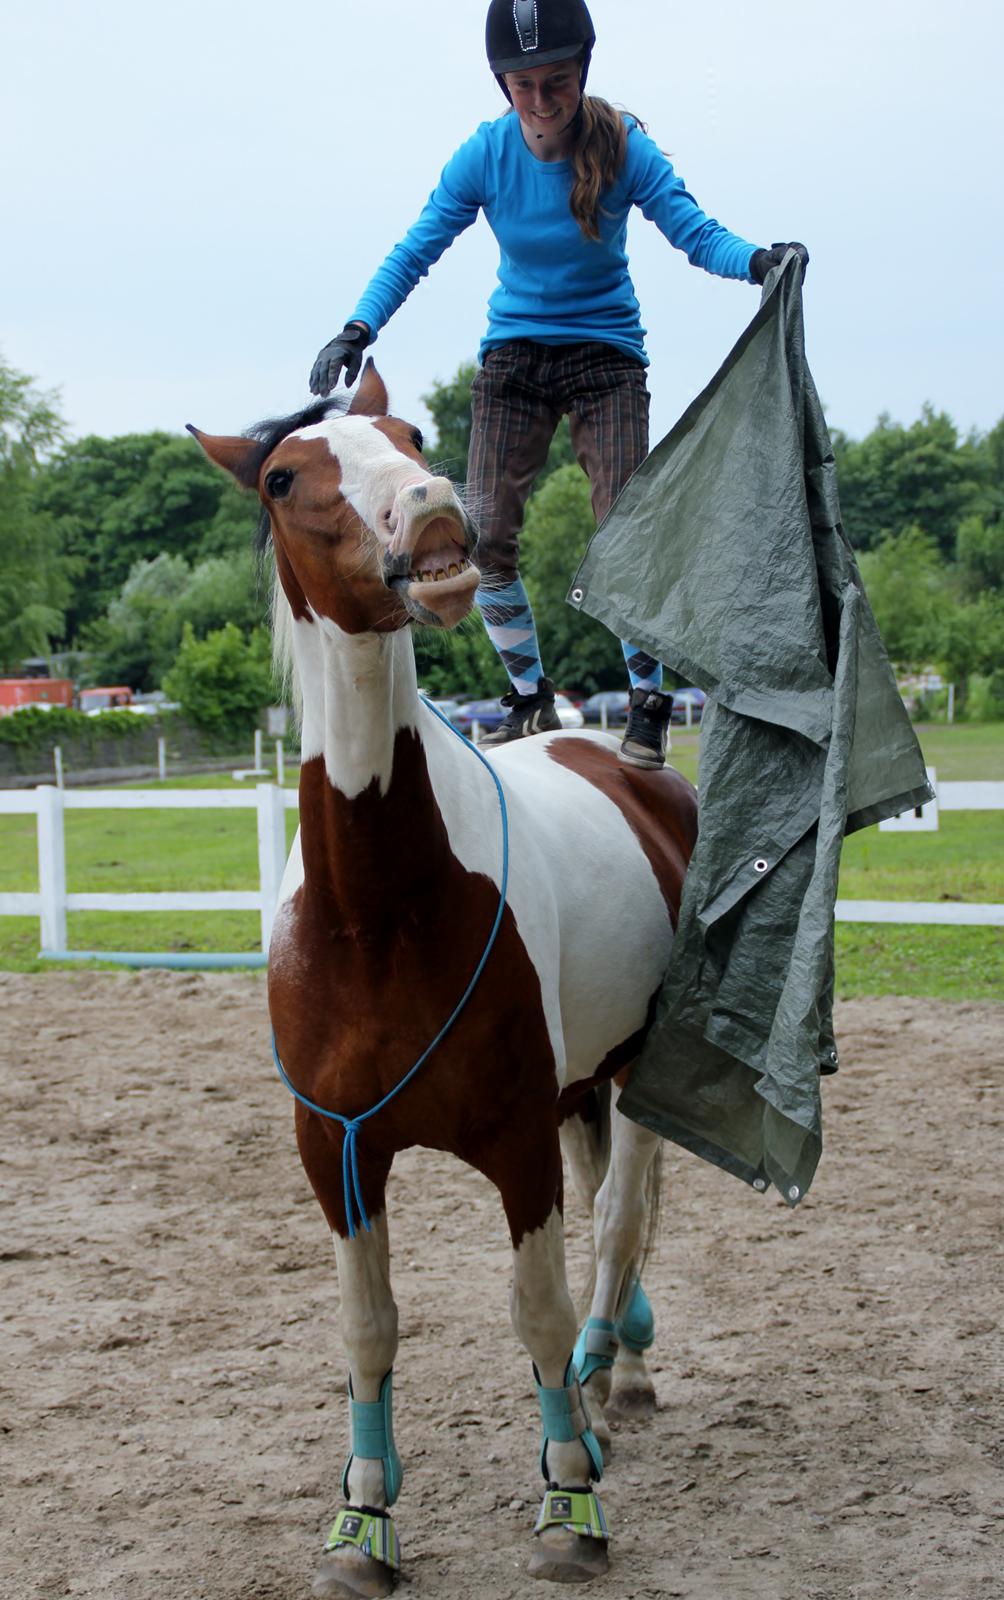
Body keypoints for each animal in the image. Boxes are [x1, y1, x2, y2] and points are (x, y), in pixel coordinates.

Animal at [191, 366, 697, 1600]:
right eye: (284, 477)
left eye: (411, 433)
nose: (428, 510)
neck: (378, 912)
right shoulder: (337, 1150)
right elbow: (368, 1327)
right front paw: (363, 1517)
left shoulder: (513, 1142)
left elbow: (536, 1307)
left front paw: (568, 1501)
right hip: (577, 1086)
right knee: (608, 1199)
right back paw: (617, 1365)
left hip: (637, 1066)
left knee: (618, 1218)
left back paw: (609, 1374)